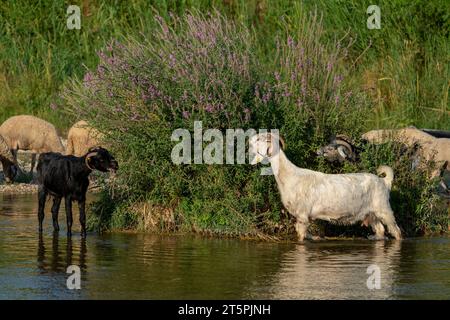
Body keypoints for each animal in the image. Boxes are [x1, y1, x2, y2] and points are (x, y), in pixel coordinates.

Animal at [250, 131, 400, 241]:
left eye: (260, 139)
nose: (248, 141)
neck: (290, 176)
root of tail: (384, 181)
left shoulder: (303, 216)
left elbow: (301, 237)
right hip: (371, 214)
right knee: (380, 230)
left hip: (384, 210)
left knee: (397, 232)